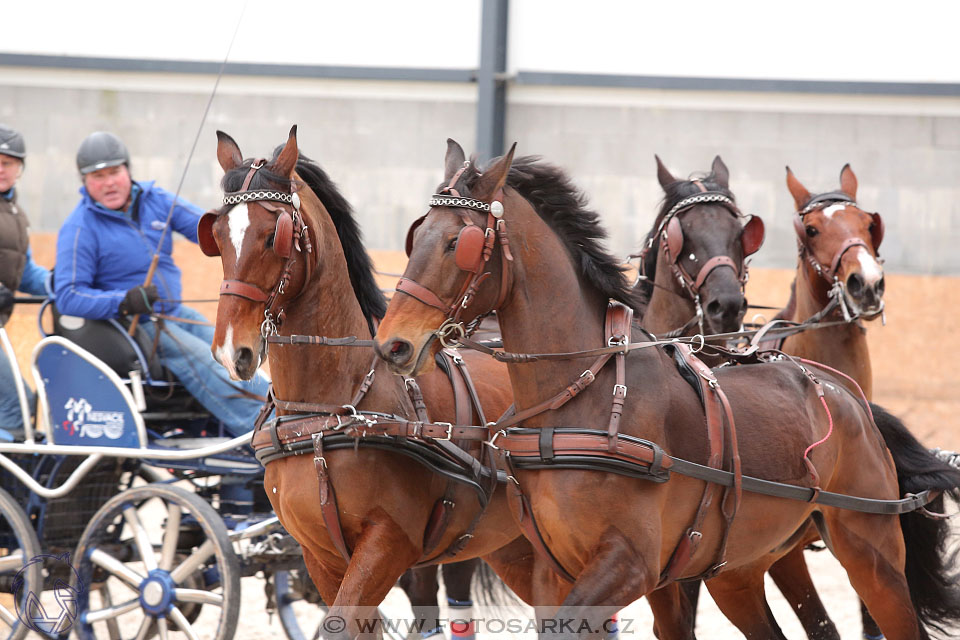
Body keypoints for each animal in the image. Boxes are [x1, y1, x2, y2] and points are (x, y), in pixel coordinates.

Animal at [374, 141, 960, 640]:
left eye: (459, 244)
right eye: (416, 236)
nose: (392, 343)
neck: (581, 395)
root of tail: (846, 393)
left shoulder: (631, 565)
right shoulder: (555, 569)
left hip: (871, 553)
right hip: (740, 568)